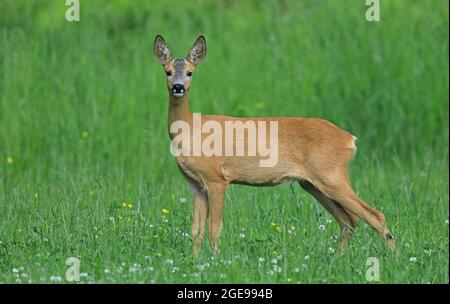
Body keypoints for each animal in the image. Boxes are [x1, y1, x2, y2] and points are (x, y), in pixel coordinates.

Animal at [154, 34, 394, 255]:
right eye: (167, 71)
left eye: (190, 72)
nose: (178, 87)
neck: (189, 130)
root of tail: (350, 139)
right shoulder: (196, 184)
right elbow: (196, 231)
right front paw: (196, 263)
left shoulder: (217, 178)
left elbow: (215, 229)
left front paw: (214, 261)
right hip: (312, 183)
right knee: (348, 221)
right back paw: (338, 259)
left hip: (332, 176)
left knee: (375, 215)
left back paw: (394, 257)